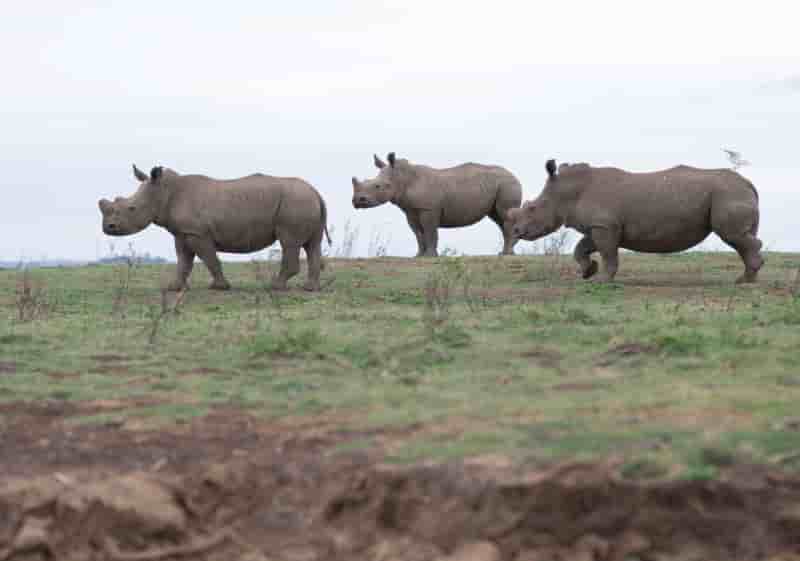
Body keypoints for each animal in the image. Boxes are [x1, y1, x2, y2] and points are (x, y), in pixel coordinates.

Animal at [99, 165, 330, 291]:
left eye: (132, 208)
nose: (108, 227)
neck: (164, 192)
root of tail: (316, 192)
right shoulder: (183, 233)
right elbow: (183, 261)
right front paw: (173, 288)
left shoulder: (197, 233)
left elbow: (209, 259)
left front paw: (220, 287)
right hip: (303, 201)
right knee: (312, 245)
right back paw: (310, 289)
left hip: (295, 202)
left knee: (289, 242)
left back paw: (275, 287)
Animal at [351, 152, 522, 256]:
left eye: (379, 186)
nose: (357, 201)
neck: (403, 178)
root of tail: (514, 175)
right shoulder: (410, 211)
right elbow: (418, 233)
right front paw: (418, 256)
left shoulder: (429, 209)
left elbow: (430, 232)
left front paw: (431, 256)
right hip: (500, 185)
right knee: (498, 218)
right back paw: (506, 253)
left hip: (507, 184)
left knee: (505, 215)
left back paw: (507, 254)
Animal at [507, 159, 764, 283]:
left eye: (532, 208)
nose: (517, 231)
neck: (567, 193)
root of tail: (749, 183)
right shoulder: (599, 226)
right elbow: (582, 248)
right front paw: (588, 272)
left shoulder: (605, 226)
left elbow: (609, 254)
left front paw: (602, 281)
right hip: (730, 193)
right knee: (740, 238)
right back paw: (746, 279)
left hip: (727, 193)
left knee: (733, 235)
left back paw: (744, 281)